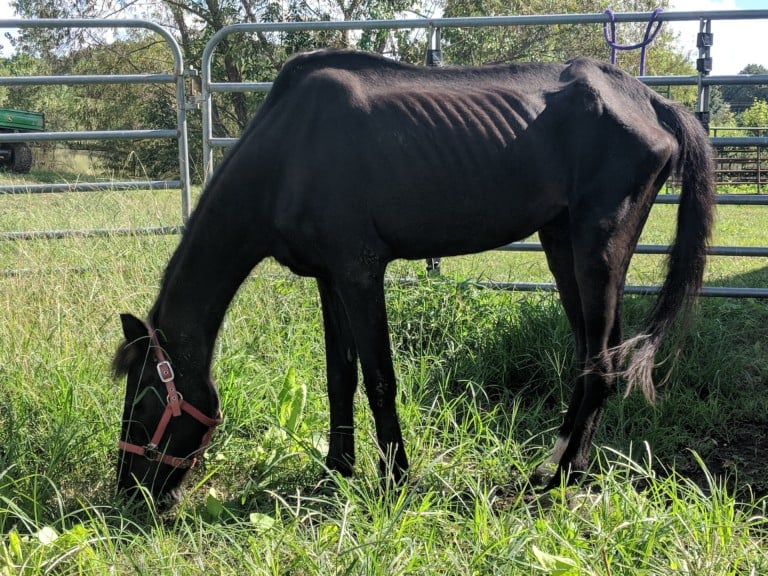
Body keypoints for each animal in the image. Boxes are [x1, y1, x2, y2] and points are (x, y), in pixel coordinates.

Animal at [112, 49, 715, 505]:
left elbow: (379, 379)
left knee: (602, 367)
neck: (288, 152)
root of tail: (649, 101)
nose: (131, 494)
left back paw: (558, 475)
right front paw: (337, 470)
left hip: (597, 253)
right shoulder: (329, 279)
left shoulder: (360, 273)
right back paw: (570, 465)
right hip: (564, 248)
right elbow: (339, 377)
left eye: (143, 403)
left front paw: (396, 478)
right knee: (596, 355)